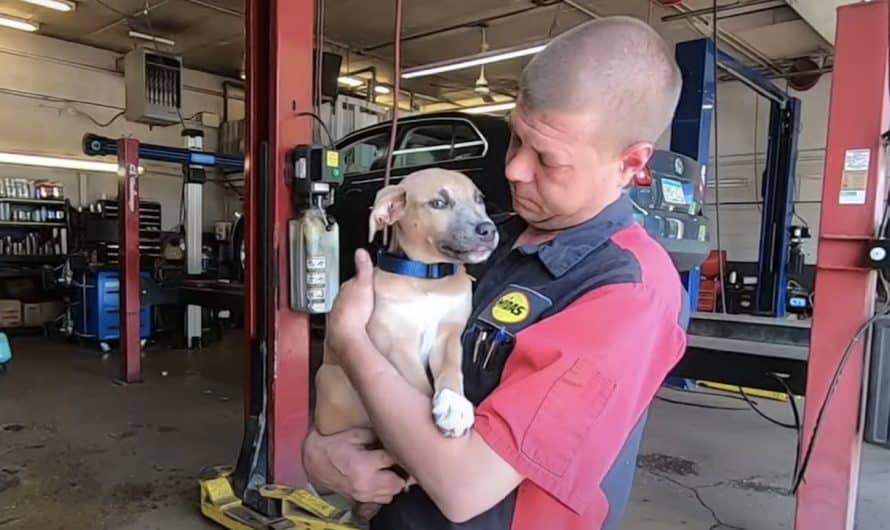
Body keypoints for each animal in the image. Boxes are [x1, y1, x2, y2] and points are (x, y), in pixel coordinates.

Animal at [312, 169, 496, 516]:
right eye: (439, 203)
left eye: (479, 199)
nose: (488, 229)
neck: (427, 278)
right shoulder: (394, 343)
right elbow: (418, 387)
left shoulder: (449, 335)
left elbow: (451, 370)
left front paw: (453, 405)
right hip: (333, 379)